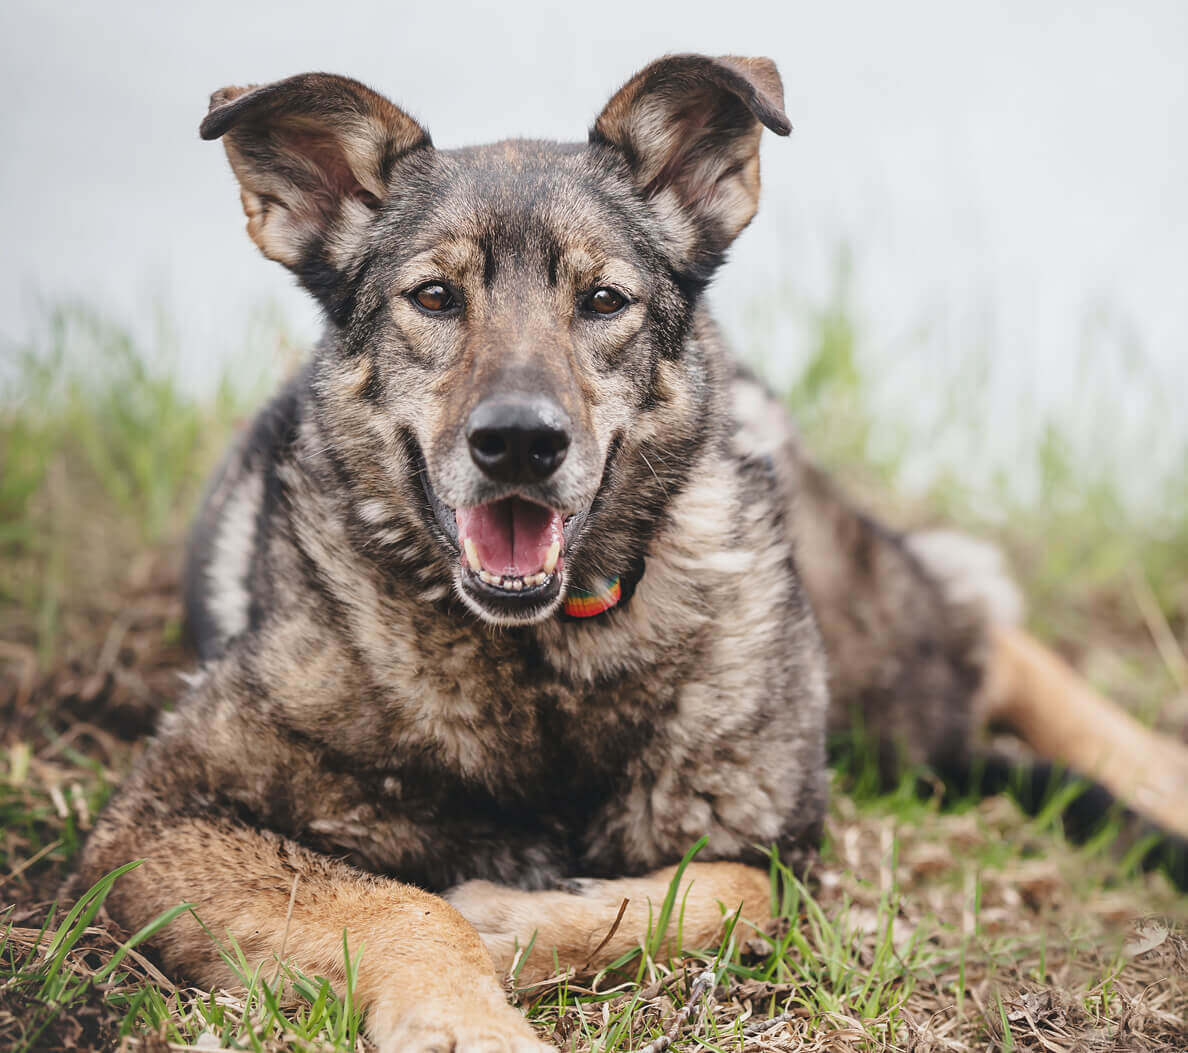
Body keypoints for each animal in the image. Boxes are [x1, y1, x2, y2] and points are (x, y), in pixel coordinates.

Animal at [76, 57, 1188, 1053]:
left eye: (603, 301)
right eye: (434, 298)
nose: (518, 443)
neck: (542, 662)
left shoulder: (775, 844)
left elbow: (728, 889)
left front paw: (508, 918)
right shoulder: (160, 821)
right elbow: (406, 906)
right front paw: (469, 1017)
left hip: (881, 662)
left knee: (988, 635)